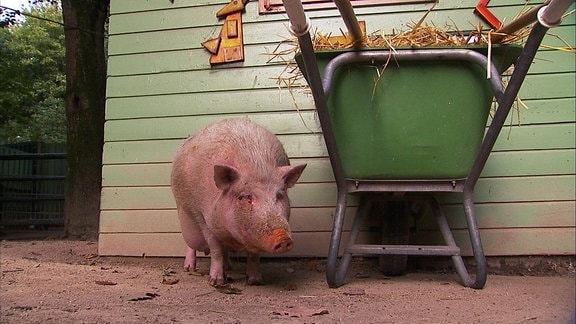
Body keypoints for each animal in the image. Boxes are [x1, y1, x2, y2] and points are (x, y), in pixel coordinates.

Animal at [170, 117, 306, 286]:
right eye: (245, 197)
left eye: (279, 195)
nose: (283, 238)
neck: (256, 164)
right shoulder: (203, 216)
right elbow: (215, 249)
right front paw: (216, 282)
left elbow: (253, 254)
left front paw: (255, 281)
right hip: (183, 212)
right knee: (191, 244)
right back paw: (189, 268)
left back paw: (229, 267)